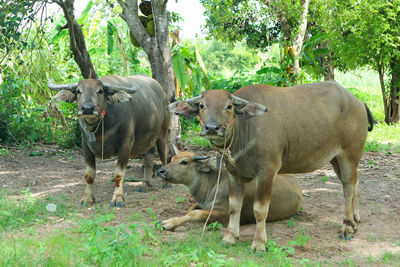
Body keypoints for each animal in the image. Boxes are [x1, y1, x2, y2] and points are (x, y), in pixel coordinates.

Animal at [49, 74, 170, 208]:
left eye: (100, 91)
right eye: (78, 91)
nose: (87, 108)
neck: (100, 128)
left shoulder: (125, 144)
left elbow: (118, 174)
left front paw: (118, 198)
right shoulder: (85, 146)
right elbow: (89, 174)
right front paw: (87, 198)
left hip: (163, 133)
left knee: (164, 155)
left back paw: (166, 183)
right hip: (149, 139)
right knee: (148, 160)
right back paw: (146, 184)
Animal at [155, 152, 302, 231]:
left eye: (184, 162)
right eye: (172, 159)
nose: (160, 171)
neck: (214, 183)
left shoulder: (224, 214)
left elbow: (194, 213)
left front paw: (167, 223)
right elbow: (191, 208)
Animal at [170, 80, 376, 252]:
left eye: (228, 106)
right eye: (202, 106)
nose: (212, 128)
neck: (245, 131)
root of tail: (358, 102)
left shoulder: (267, 172)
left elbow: (260, 210)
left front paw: (259, 243)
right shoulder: (233, 174)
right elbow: (234, 207)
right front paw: (230, 237)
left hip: (350, 153)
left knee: (348, 185)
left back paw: (347, 226)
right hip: (335, 157)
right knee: (354, 180)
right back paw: (356, 219)